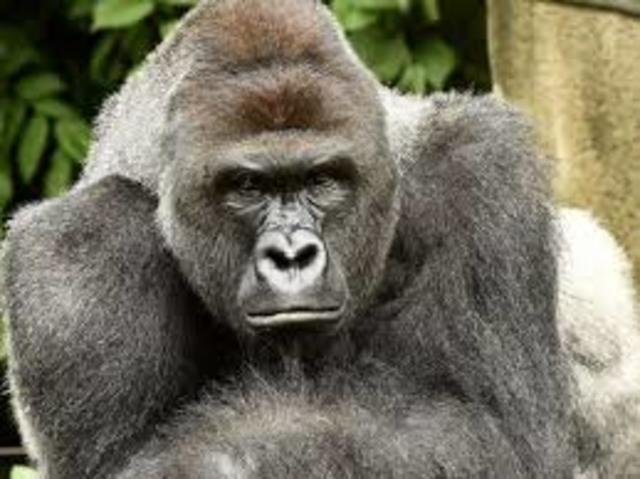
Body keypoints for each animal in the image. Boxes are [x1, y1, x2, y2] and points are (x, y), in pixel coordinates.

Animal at [3, 0, 638, 477]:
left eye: (323, 180)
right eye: (248, 186)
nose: (291, 256)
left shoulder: (478, 170)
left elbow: (488, 430)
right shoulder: (71, 255)